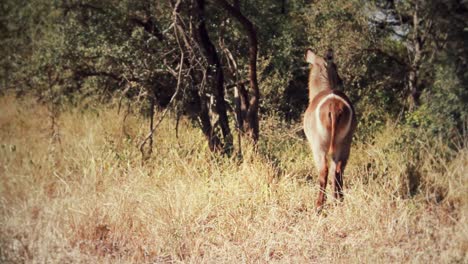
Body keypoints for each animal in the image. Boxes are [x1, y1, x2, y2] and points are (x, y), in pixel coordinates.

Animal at [304, 49, 354, 210]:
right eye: (336, 66)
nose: (341, 80)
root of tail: (334, 105)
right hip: (344, 144)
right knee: (337, 170)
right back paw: (339, 201)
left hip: (319, 146)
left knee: (324, 171)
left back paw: (319, 206)